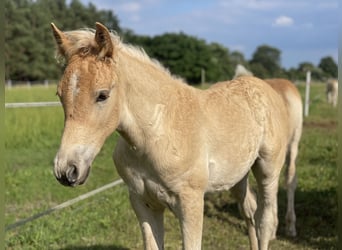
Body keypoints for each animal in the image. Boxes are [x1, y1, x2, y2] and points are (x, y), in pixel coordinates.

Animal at [51, 22, 296, 249]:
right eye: (59, 94)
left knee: (265, 219)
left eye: (102, 95)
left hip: (268, 170)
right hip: (238, 175)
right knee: (249, 211)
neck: (157, 134)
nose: (67, 170)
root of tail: (262, 86)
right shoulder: (143, 203)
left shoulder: (191, 203)